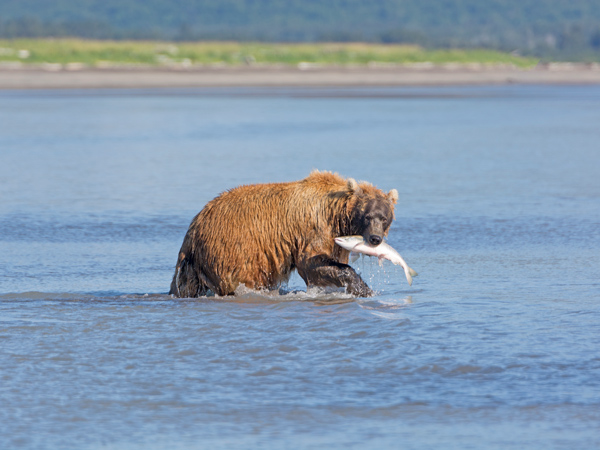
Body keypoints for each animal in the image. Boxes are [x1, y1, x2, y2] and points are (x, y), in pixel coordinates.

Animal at [169, 171, 398, 298]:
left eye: (384, 217)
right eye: (367, 216)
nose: (375, 238)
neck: (337, 215)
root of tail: (195, 225)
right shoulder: (315, 230)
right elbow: (312, 264)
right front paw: (365, 289)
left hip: (197, 263)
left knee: (188, 285)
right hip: (231, 250)